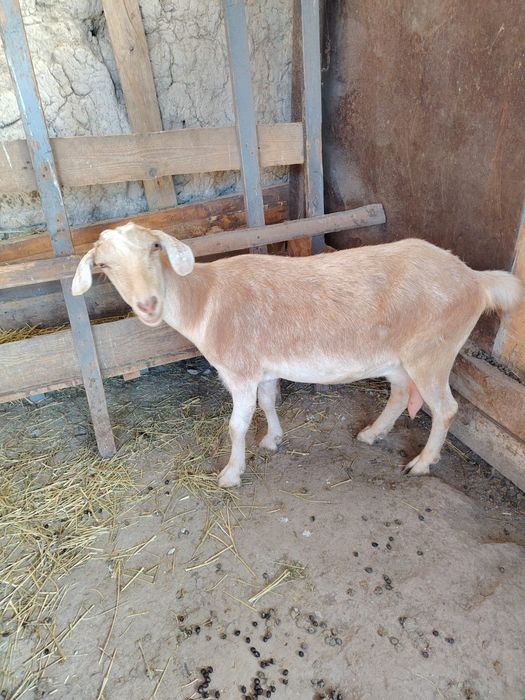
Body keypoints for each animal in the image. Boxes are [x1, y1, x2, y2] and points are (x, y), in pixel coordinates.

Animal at [72, 223, 522, 487]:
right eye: (104, 265)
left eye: (154, 248)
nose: (147, 304)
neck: (205, 299)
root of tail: (475, 280)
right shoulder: (265, 367)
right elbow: (269, 402)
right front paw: (273, 439)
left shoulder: (239, 371)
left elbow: (236, 425)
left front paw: (231, 473)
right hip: (396, 357)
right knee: (398, 394)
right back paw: (372, 434)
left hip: (433, 351)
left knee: (446, 408)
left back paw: (423, 463)